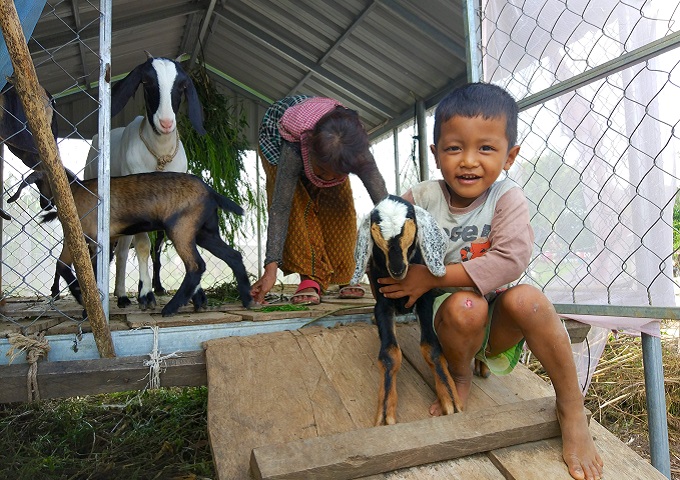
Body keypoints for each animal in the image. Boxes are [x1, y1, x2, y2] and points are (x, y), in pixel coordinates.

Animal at [73, 51, 205, 308]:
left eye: (182, 85)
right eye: (147, 82)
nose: (166, 123)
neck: (160, 157)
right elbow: (143, 246)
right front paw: (146, 294)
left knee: (124, 248)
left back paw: (123, 293)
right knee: (114, 248)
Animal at [354, 193, 464, 426]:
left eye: (409, 222)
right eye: (376, 229)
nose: (397, 269)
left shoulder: (424, 299)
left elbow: (432, 348)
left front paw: (450, 399)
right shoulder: (383, 305)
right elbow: (389, 354)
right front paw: (385, 412)